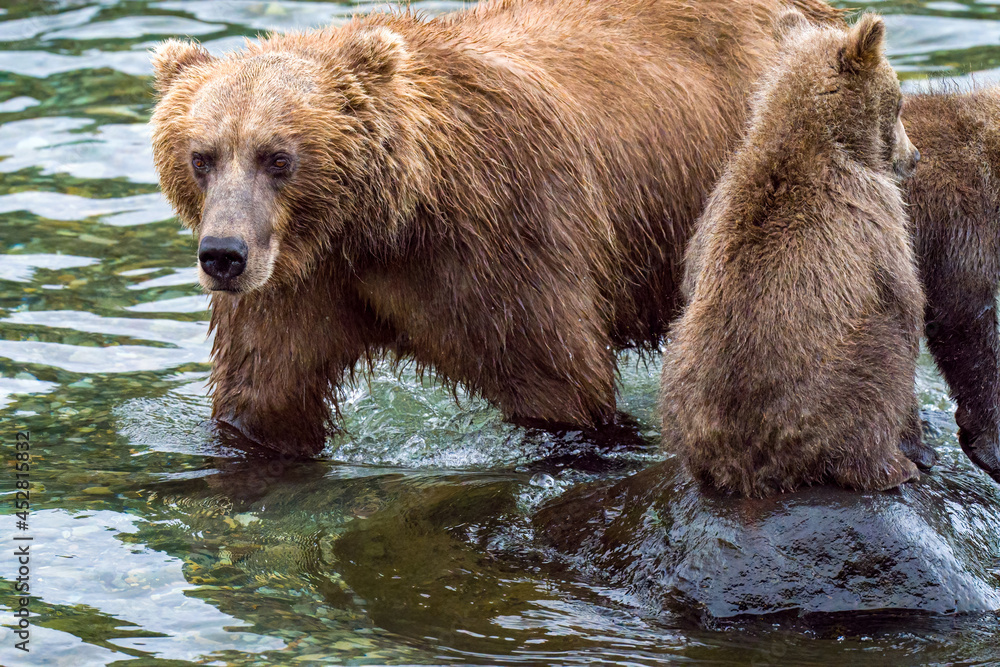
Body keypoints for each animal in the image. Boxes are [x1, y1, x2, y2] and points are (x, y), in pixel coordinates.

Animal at [149, 0, 846, 458]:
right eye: (201, 156)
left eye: (278, 157)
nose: (224, 255)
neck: (377, 227)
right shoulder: (299, 281)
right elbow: (265, 396)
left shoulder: (503, 238)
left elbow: (560, 386)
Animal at [659, 13, 924, 497]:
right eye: (898, 104)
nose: (913, 156)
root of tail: (746, 468)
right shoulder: (872, 211)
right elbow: (904, 299)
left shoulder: (709, 213)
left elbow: (690, 278)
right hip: (827, 386)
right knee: (880, 368)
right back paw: (892, 467)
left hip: (679, 376)